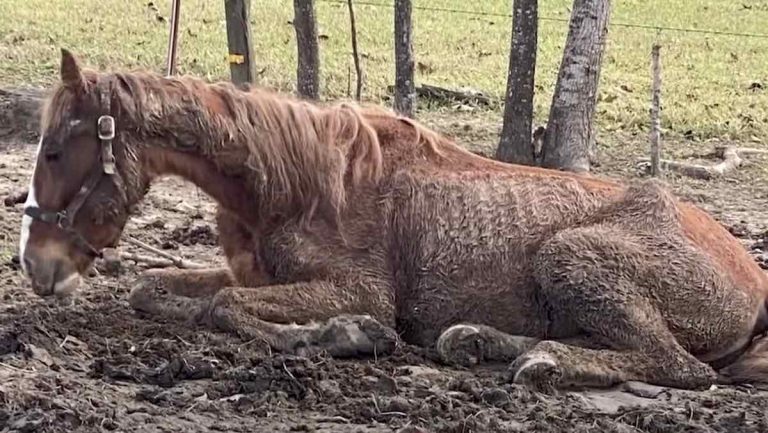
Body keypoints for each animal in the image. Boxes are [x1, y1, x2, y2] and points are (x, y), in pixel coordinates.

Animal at [18, 49, 768, 391]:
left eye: (55, 149)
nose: (36, 266)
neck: (298, 181)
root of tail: (755, 281)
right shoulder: (252, 273)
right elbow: (156, 292)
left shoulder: (358, 287)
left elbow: (226, 307)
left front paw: (346, 333)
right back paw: (482, 341)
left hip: (573, 254)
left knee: (678, 366)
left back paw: (542, 359)